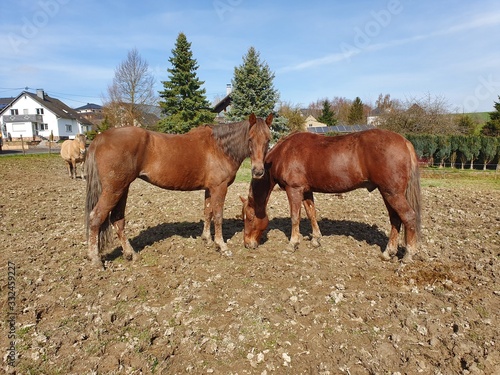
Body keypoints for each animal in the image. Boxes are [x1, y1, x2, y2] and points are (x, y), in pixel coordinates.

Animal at [86, 114, 274, 270]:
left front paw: (206, 239)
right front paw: (222, 246)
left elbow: (208, 213)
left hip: (122, 189)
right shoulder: (219, 188)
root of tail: (100, 138)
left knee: (118, 220)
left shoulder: (209, 189)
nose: (258, 171)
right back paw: (95, 260)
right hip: (113, 190)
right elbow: (218, 216)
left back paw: (130, 254)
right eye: (250, 139)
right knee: (96, 217)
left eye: (268, 139)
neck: (220, 147)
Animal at [242, 131, 422, 262]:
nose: (247, 244)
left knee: (408, 217)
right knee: (395, 219)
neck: (285, 152)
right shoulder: (306, 191)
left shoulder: (294, 189)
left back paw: (409, 254)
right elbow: (311, 213)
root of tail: (404, 142)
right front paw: (316, 239)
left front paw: (293, 243)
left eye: (249, 218)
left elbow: (295, 217)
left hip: (392, 193)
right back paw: (388, 252)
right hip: (387, 193)